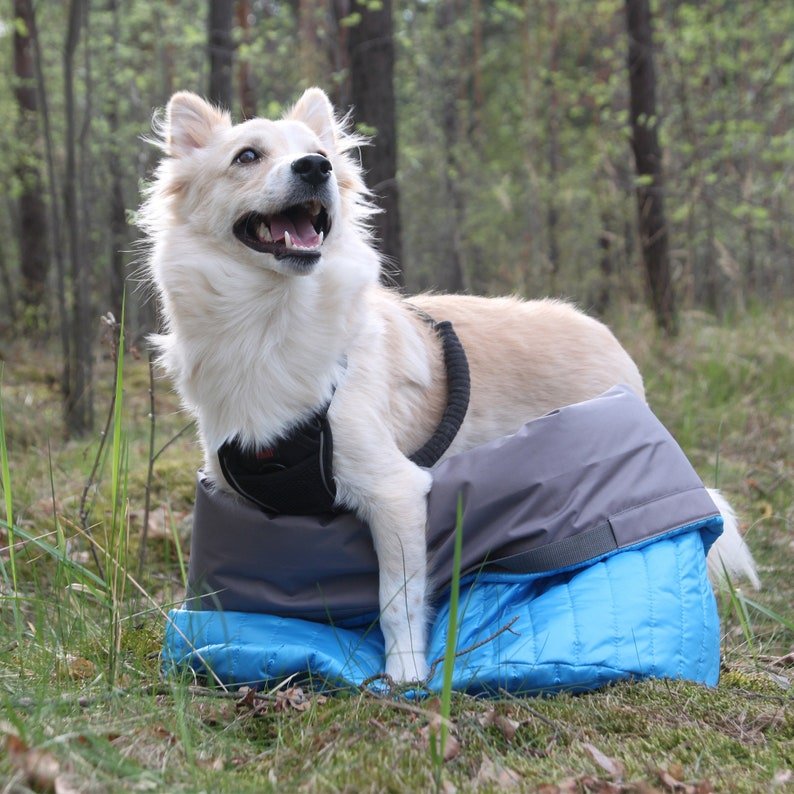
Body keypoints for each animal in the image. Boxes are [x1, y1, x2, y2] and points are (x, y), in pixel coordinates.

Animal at [141, 86, 756, 680]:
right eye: (247, 157)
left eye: (318, 153)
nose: (316, 166)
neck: (270, 317)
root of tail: (612, 344)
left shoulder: (395, 494)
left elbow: (398, 598)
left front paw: (406, 673)